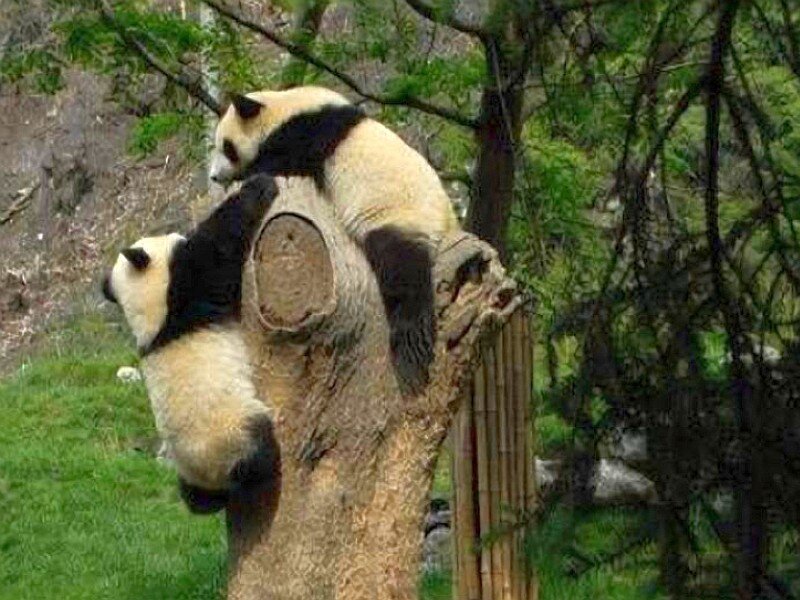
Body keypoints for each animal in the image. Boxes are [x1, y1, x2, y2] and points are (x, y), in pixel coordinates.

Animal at [102, 174, 280, 514]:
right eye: (175, 237)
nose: (178, 231)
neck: (155, 325)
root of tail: (215, 477)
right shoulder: (189, 290)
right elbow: (218, 245)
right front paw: (260, 185)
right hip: (230, 432)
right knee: (259, 453)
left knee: (195, 500)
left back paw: (202, 501)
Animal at [209, 85, 460, 391]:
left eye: (227, 147)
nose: (214, 176)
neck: (286, 106)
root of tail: (449, 225)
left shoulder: (306, 136)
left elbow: (278, 164)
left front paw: (247, 174)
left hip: (399, 215)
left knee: (402, 272)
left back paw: (411, 348)